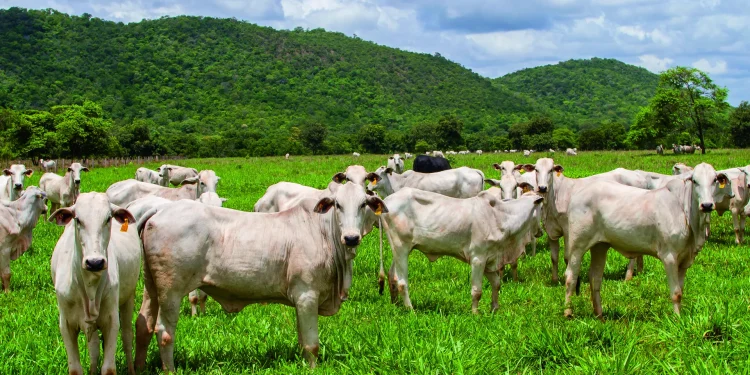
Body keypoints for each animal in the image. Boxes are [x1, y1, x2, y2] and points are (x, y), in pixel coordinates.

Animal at [50, 194, 141, 375]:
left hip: (129, 298)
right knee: (94, 349)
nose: (95, 262)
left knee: (127, 337)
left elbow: (109, 368)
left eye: (108, 218)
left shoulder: (112, 321)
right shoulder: (66, 324)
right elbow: (76, 368)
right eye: (78, 219)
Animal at [134, 182, 388, 370]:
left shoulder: (300, 301)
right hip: (171, 291)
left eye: (364, 204)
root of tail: (160, 210)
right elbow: (311, 345)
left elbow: (301, 340)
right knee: (164, 333)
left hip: (152, 287)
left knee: (143, 325)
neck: (323, 232)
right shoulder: (307, 295)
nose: (352, 238)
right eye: (337, 205)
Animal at [382, 188, 540, 314]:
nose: (540, 232)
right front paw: (475, 313)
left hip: (399, 250)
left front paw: (494, 309)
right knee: (402, 282)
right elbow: (477, 291)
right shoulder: (478, 258)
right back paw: (411, 310)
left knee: (392, 276)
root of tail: (386, 201)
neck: (501, 217)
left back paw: (396, 305)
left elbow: (496, 283)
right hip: (401, 247)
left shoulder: (489, 260)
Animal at [564, 163, 736, 318]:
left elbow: (681, 291)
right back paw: (568, 313)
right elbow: (675, 293)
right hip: (577, 246)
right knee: (570, 277)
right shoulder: (669, 257)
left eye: (714, 180)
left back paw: (599, 315)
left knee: (595, 278)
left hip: (600, 246)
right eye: (695, 181)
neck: (684, 210)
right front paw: (677, 320)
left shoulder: (685, 259)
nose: (707, 205)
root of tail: (577, 192)